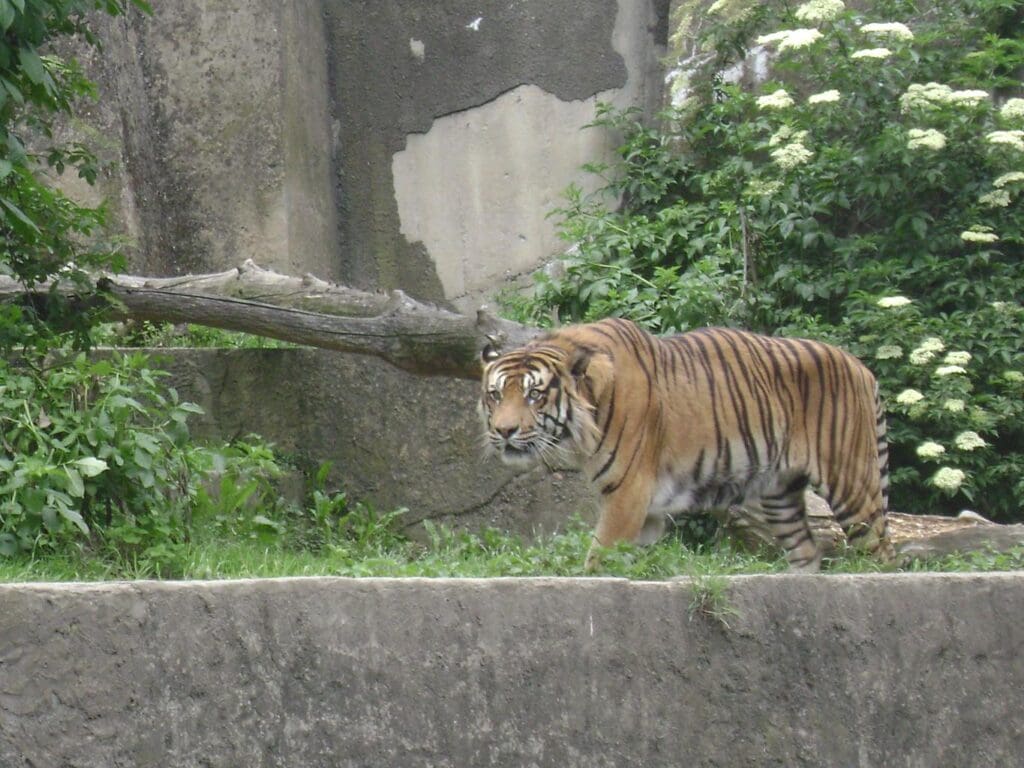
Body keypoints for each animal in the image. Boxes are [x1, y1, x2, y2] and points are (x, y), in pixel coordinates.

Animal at [481, 315, 897, 573]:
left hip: (852, 486)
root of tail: (861, 367)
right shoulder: (646, 512)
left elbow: (598, 557)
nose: (504, 430)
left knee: (882, 552)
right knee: (807, 551)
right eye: (495, 395)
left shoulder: (627, 494)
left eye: (535, 395)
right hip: (780, 495)